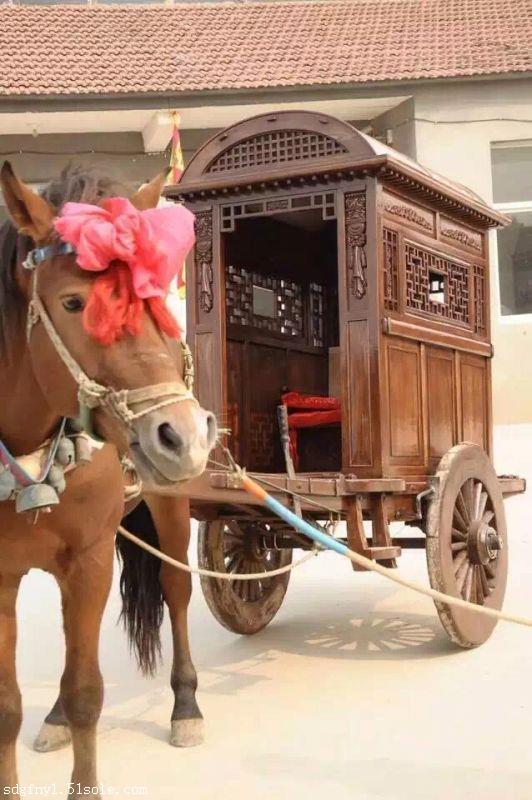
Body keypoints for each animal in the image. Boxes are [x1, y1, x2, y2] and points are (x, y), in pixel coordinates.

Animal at [0, 163, 216, 798]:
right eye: (75, 302)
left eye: (153, 302)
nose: (183, 434)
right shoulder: (1, 575)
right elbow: (8, 707)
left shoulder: (91, 556)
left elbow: (87, 694)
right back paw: (53, 718)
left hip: (170, 507)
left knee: (176, 590)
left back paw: (186, 705)